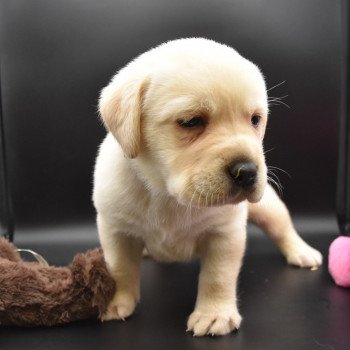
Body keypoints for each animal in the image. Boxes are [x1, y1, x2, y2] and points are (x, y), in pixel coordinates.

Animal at [93, 38, 322, 336]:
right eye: (191, 121)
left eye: (255, 119)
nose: (247, 171)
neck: (167, 194)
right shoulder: (115, 228)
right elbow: (119, 267)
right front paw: (115, 300)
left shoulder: (224, 233)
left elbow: (218, 276)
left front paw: (214, 314)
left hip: (268, 207)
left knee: (282, 227)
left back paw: (302, 251)